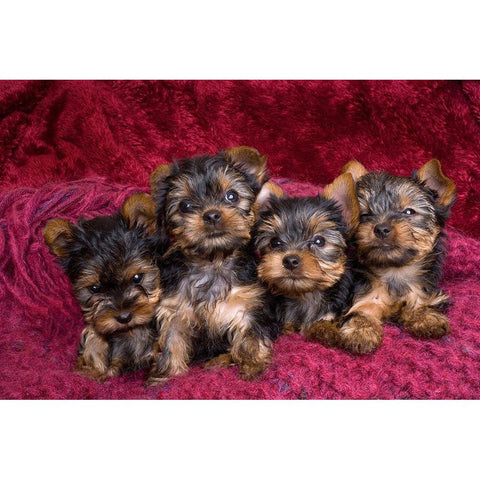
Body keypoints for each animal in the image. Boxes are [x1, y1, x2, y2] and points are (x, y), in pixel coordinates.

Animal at [43, 193, 163, 380]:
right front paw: (93, 369)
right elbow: (94, 338)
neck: (130, 330)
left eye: (137, 278)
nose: (124, 317)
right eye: (94, 288)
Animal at [148, 146, 280, 386]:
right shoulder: (174, 309)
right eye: (185, 206)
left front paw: (253, 366)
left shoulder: (248, 304)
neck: (212, 261)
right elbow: (171, 340)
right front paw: (166, 374)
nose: (211, 215)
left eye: (232, 196)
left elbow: (250, 336)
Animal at [336, 159, 456, 350]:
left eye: (408, 212)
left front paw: (427, 317)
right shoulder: (364, 298)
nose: (381, 229)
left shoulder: (420, 291)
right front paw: (361, 332)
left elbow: (420, 303)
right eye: (365, 215)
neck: (395, 270)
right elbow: (361, 312)